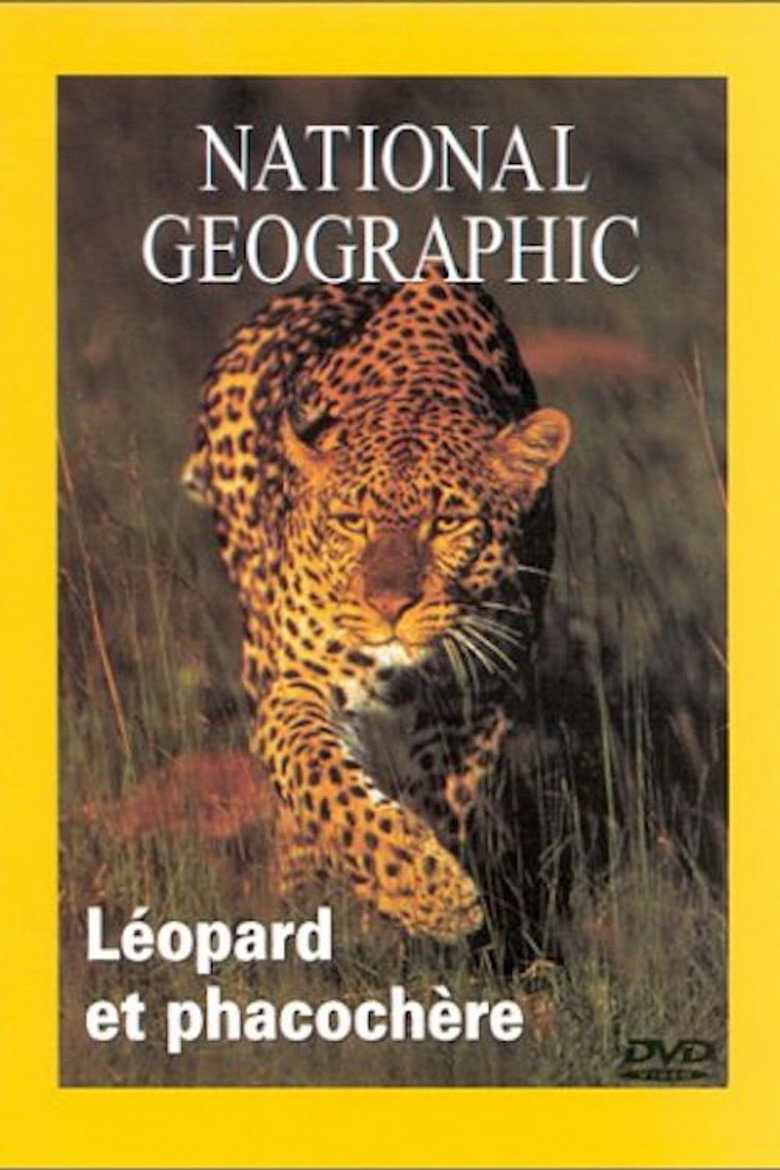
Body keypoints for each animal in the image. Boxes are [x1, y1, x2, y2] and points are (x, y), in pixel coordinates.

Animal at [182, 271, 571, 953]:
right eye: (350, 521)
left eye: (448, 522)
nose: (390, 606)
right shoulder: (300, 681)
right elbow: (323, 782)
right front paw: (426, 892)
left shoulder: (478, 696)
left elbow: (446, 798)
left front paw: (413, 907)